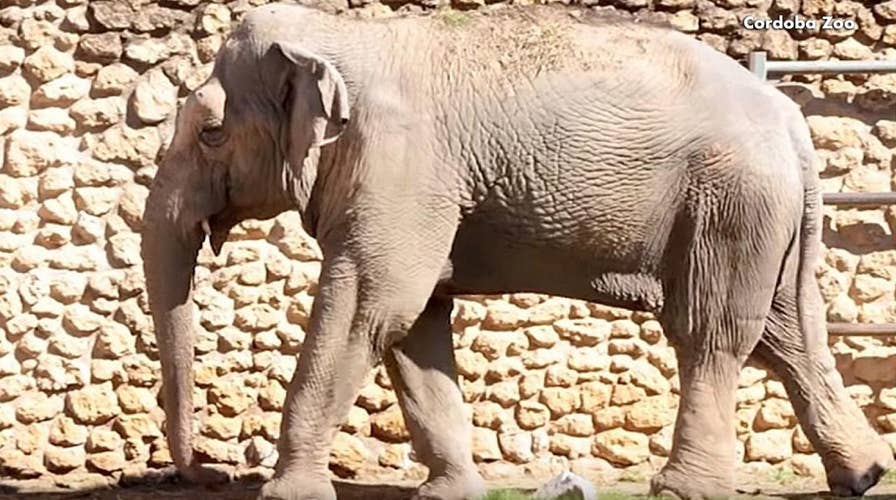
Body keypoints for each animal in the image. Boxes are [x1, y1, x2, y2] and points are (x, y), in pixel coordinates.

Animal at [140, 3, 894, 500]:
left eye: (210, 133)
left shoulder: (402, 167)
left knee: (710, 331)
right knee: (788, 333)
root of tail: (791, 118)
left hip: (729, 204)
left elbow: (372, 304)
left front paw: (289, 495)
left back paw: (684, 489)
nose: (203, 473)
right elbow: (414, 322)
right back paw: (862, 475)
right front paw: (451, 494)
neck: (343, 35)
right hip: (768, 218)